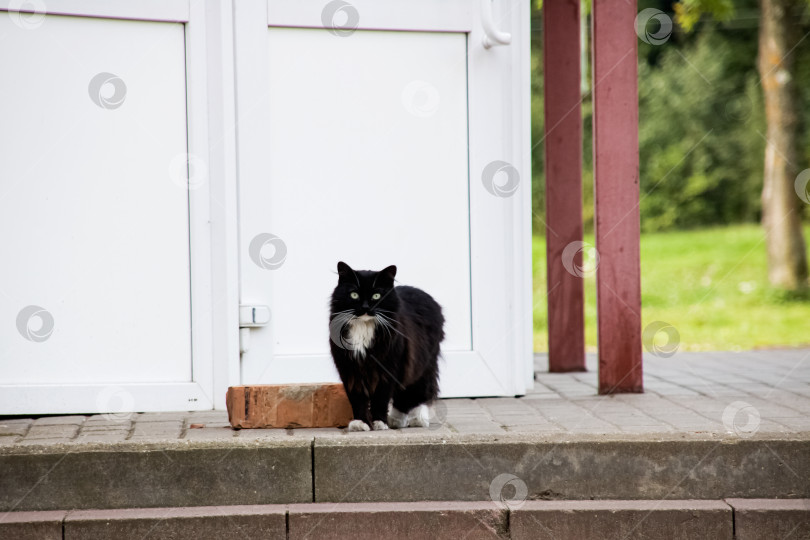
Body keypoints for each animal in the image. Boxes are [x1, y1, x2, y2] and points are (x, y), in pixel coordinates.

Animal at [326, 262, 442, 430]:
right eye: (354, 295)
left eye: (376, 296)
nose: (365, 307)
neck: (364, 327)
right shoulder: (350, 370)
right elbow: (357, 399)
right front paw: (360, 423)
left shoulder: (388, 369)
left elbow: (381, 398)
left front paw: (379, 422)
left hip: (422, 364)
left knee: (416, 392)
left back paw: (411, 419)